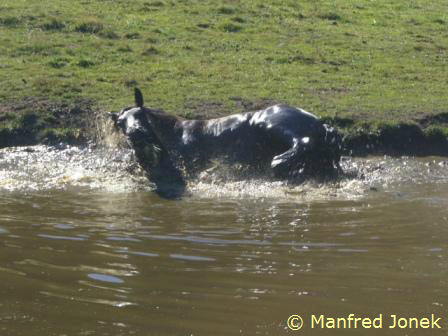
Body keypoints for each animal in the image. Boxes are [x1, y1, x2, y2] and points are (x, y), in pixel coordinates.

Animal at [110, 88, 342, 197]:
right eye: (120, 122)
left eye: (140, 114)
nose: (135, 133)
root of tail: (321, 124)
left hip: (272, 122)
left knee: (303, 142)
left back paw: (279, 163)